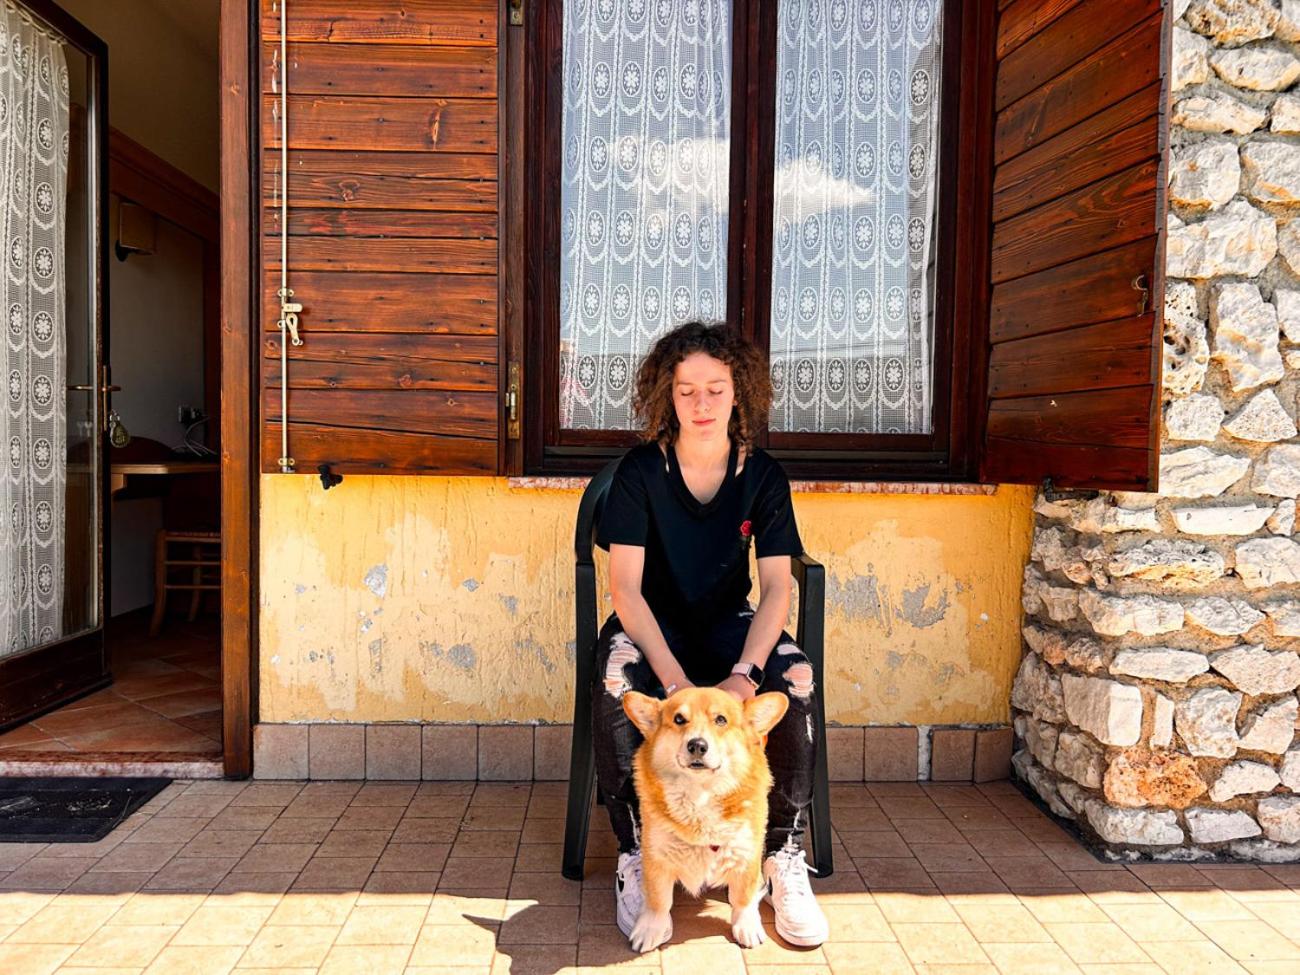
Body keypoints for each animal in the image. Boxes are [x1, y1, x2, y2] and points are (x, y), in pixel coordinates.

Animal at [621, 686, 789, 952]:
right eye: (679, 719)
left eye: (720, 720)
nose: (697, 745)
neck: (700, 795)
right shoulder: (656, 855)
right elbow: (658, 899)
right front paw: (651, 929)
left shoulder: (746, 853)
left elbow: (742, 897)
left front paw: (747, 926)